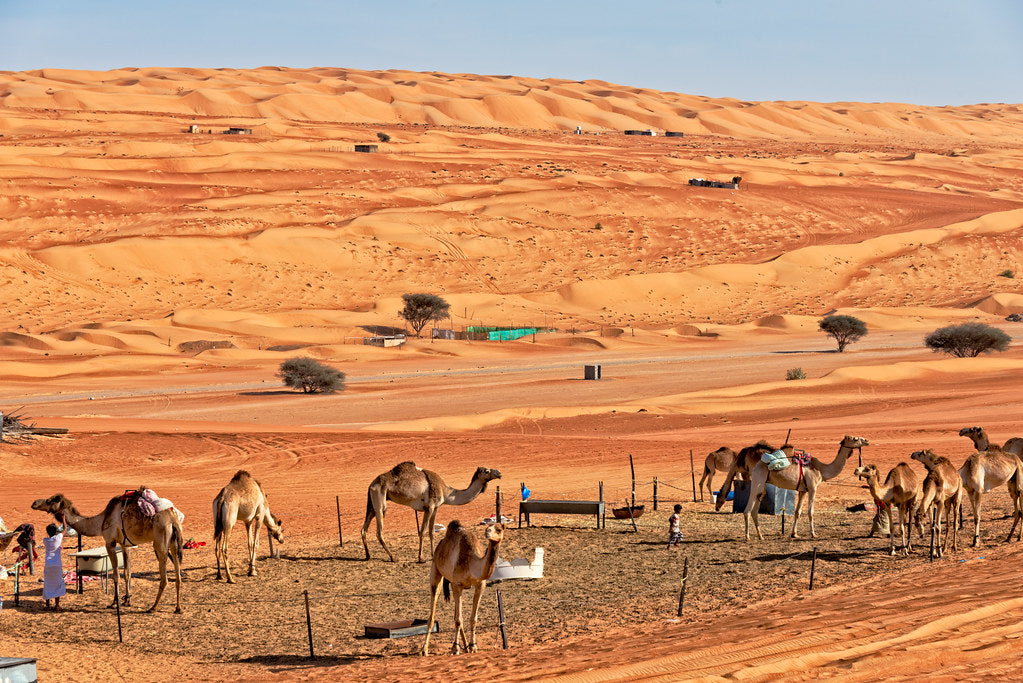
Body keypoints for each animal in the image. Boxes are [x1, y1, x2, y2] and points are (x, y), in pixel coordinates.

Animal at [31, 491, 183, 613]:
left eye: (50, 500)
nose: (34, 503)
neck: (101, 520)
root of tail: (172, 520)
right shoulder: (125, 544)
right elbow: (126, 573)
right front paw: (126, 600)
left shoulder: (110, 542)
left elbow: (116, 575)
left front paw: (114, 603)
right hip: (174, 543)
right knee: (178, 574)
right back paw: (178, 608)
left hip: (160, 541)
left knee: (164, 578)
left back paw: (153, 607)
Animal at [362, 462, 501, 563]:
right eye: (487, 471)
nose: (499, 473)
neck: (446, 492)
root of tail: (372, 484)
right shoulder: (429, 507)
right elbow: (422, 531)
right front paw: (421, 558)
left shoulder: (435, 508)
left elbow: (431, 532)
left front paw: (433, 554)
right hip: (380, 500)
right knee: (379, 531)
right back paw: (393, 557)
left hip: (372, 503)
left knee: (364, 529)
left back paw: (368, 556)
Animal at [422, 521, 504, 656]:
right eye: (488, 527)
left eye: (499, 529)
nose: (487, 532)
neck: (472, 564)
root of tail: (440, 545)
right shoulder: (458, 585)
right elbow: (458, 620)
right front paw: (455, 648)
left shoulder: (480, 585)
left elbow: (472, 619)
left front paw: (473, 647)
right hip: (436, 570)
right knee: (433, 609)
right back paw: (424, 650)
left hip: (451, 582)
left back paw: (465, 647)